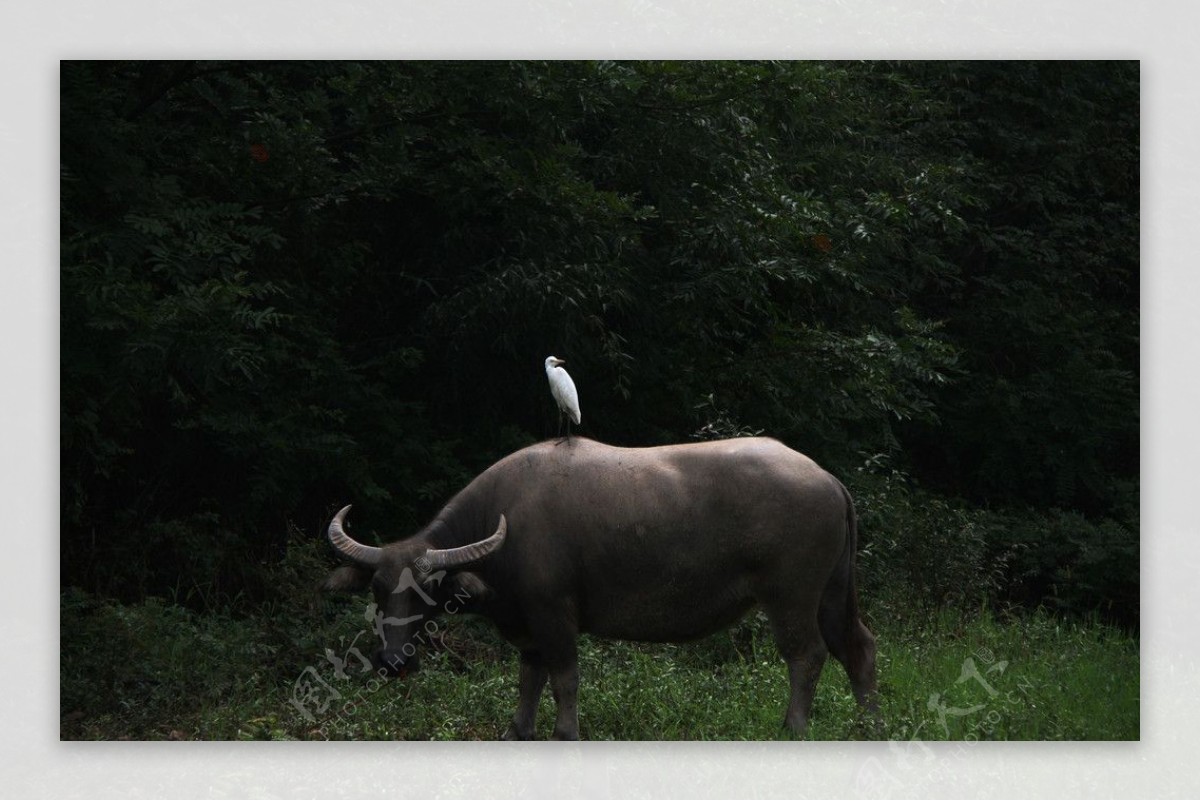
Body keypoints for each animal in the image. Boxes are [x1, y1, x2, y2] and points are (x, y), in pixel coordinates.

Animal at [324, 438, 878, 738]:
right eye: (377, 589)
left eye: (429, 587)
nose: (392, 661)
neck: (505, 524)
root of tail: (827, 478)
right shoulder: (528, 628)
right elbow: (529, 680)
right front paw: (518, 730)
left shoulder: (555, 616)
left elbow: (565, 679)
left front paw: (564, 731)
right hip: (833, 591)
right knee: (858, 646)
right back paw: (866, 723)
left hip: (791, 595)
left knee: (807, 655)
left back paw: (794, 726)